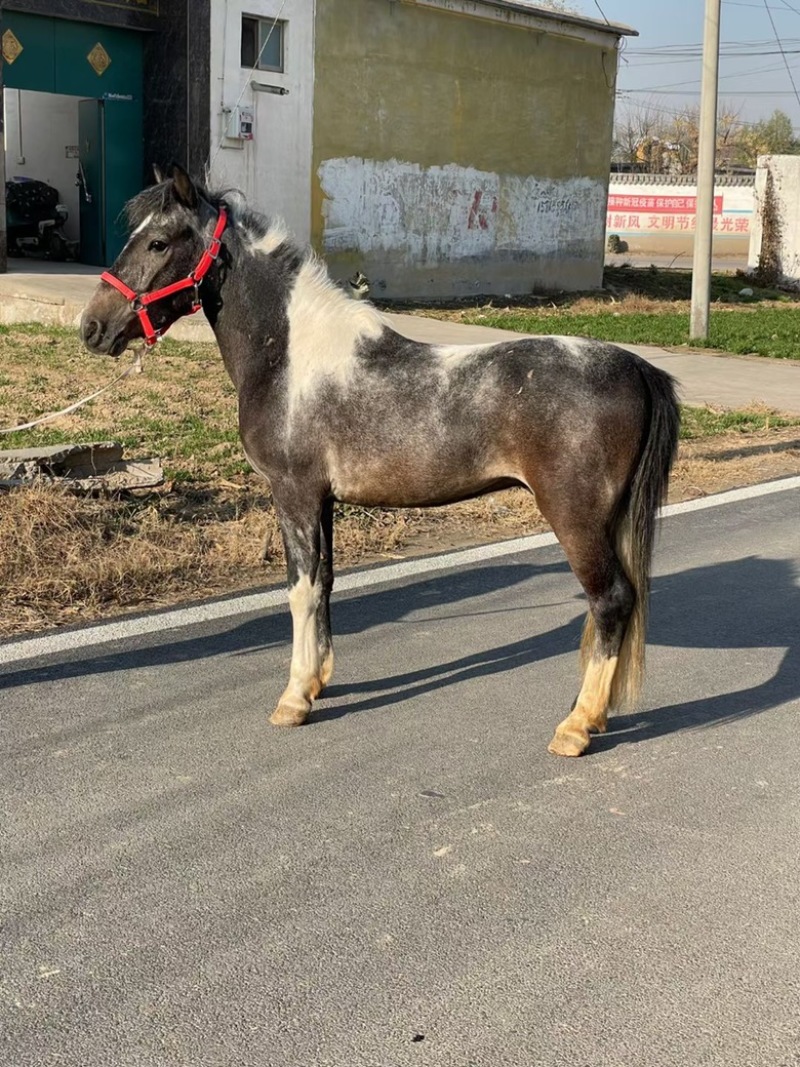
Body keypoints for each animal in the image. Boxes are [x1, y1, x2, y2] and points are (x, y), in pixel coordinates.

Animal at [80, 165, 680, 757]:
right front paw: (316, 682)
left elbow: (299, 591)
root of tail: (636, 367)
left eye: (159, 242)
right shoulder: (322, 502)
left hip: (575, 519)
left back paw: (576, 727)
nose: (91, 327)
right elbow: (324, 585)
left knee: (611, 601)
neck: (290, 355)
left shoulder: (293, 494)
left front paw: (293, 700)